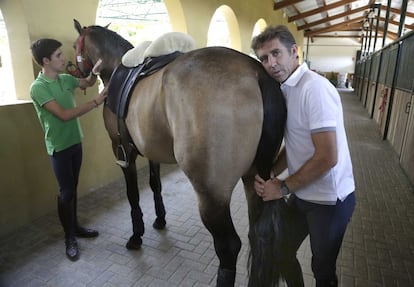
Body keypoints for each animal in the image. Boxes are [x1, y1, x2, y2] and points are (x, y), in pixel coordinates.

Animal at [71, 19, 292, 286]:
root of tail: (257, 72)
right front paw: (160, 219)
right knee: (257, 235)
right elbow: (155, 185)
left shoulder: (122, 151)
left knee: (229, 246)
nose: (76, 72)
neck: (115, 66)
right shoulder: (151, 151)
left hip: (212, 195)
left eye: (75, 45)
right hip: (255, 180)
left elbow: (133, 195)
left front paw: (136, 236)